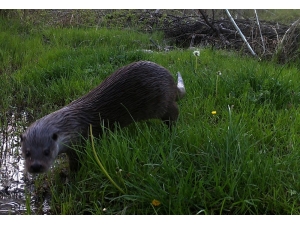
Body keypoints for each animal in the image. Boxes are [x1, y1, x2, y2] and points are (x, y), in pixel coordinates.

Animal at [19, 61, 185, 174]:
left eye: (47, 151)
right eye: (27, 152)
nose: (35, 167)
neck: (70, 124)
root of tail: (170, 79)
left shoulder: (79, 144)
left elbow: (76, 163)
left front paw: (70, 175)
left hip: (162, 103)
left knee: (174, 112)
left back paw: (172, 130)